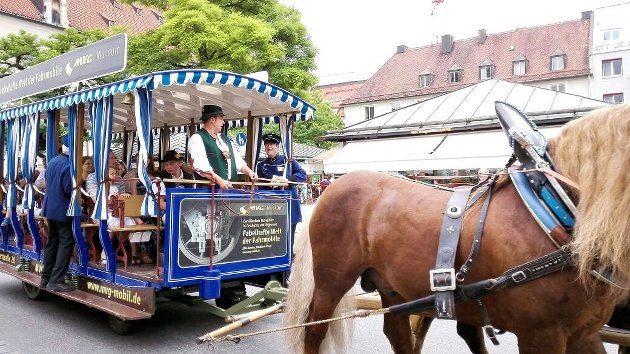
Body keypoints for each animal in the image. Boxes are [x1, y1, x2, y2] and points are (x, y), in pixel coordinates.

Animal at [288, 105, 630, 354]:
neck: (550, 206)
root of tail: (331, 189)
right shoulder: (541, 335)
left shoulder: (583, 332)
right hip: (332, 281)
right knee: (313, 330)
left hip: (392, 286)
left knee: (397, 334)